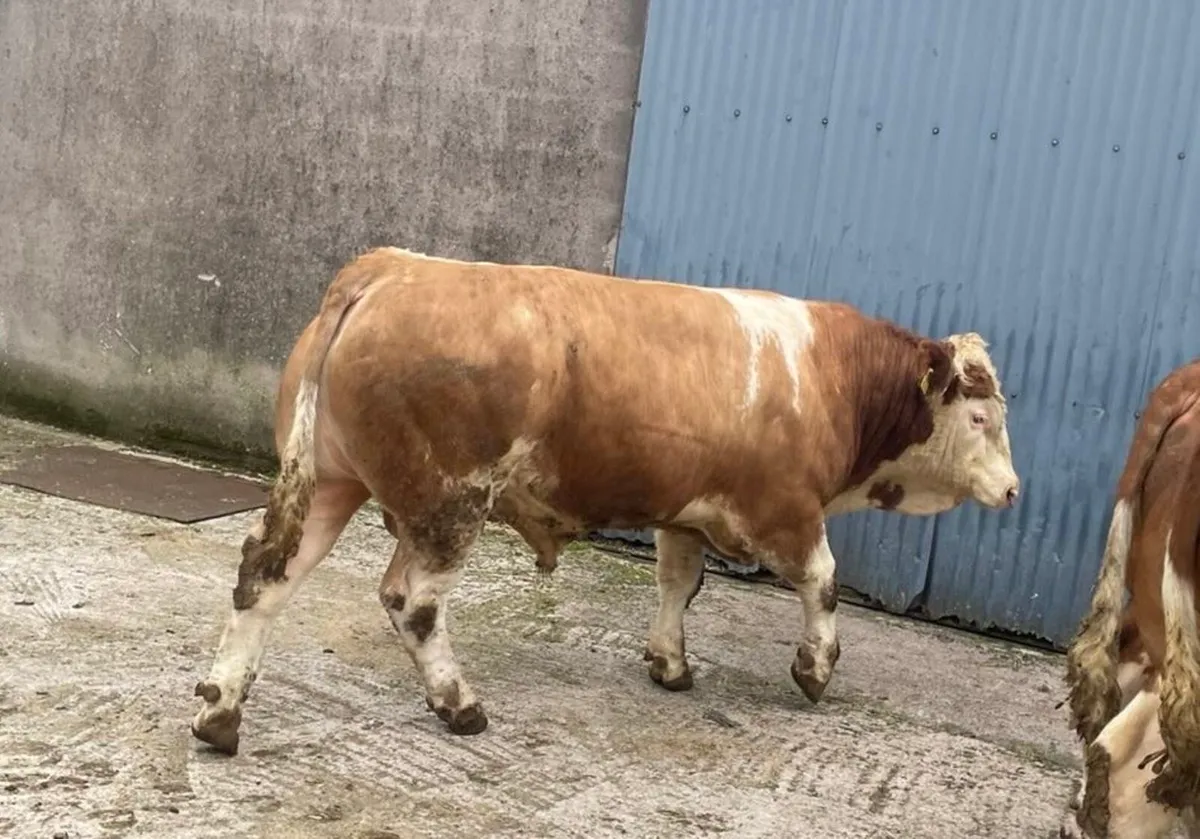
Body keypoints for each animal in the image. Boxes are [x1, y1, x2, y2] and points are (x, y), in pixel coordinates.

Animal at [190, 246, 1019, 755]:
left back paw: (220, 711)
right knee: (412, 600)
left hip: (332, 481)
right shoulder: (786, 508)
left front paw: (670, 661)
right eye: (982, 416)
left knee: (265, 577)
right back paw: (459, 703)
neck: (826, 374)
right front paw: (814, 669)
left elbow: (679, 583)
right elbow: (823, 581)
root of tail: (390, 267)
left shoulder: (686, 510)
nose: (1014, 489)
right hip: (449, 502)